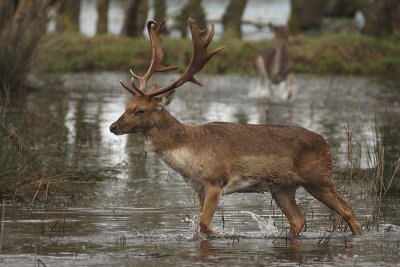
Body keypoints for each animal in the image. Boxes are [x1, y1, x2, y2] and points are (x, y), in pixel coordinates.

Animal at [109, 19, 362, 240]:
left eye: (140, 110)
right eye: (126, 106)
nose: (113, 126)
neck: (189, 153)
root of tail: (326, 144)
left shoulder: (216, 180)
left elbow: (204, 223)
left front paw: (226, 234)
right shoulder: (200, 188)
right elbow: (200, 227)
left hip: (319, 177)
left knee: (347, 208)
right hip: (283, 187)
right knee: (298, 219)